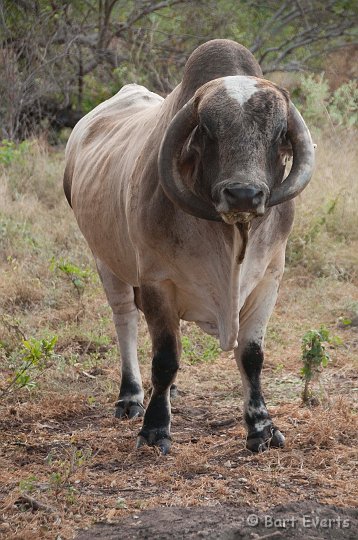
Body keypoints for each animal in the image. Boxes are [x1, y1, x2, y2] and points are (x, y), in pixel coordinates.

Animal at [63, 39, 314, 452]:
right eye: (208, 129)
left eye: (279, 132)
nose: (243, 194)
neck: (230, 242)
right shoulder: (156, 282)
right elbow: (165, 359)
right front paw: (154, 429)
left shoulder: (268, 280)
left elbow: (251, 356)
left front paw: (261, 427)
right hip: (106, 261)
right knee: (125, 320)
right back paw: (131, 396)